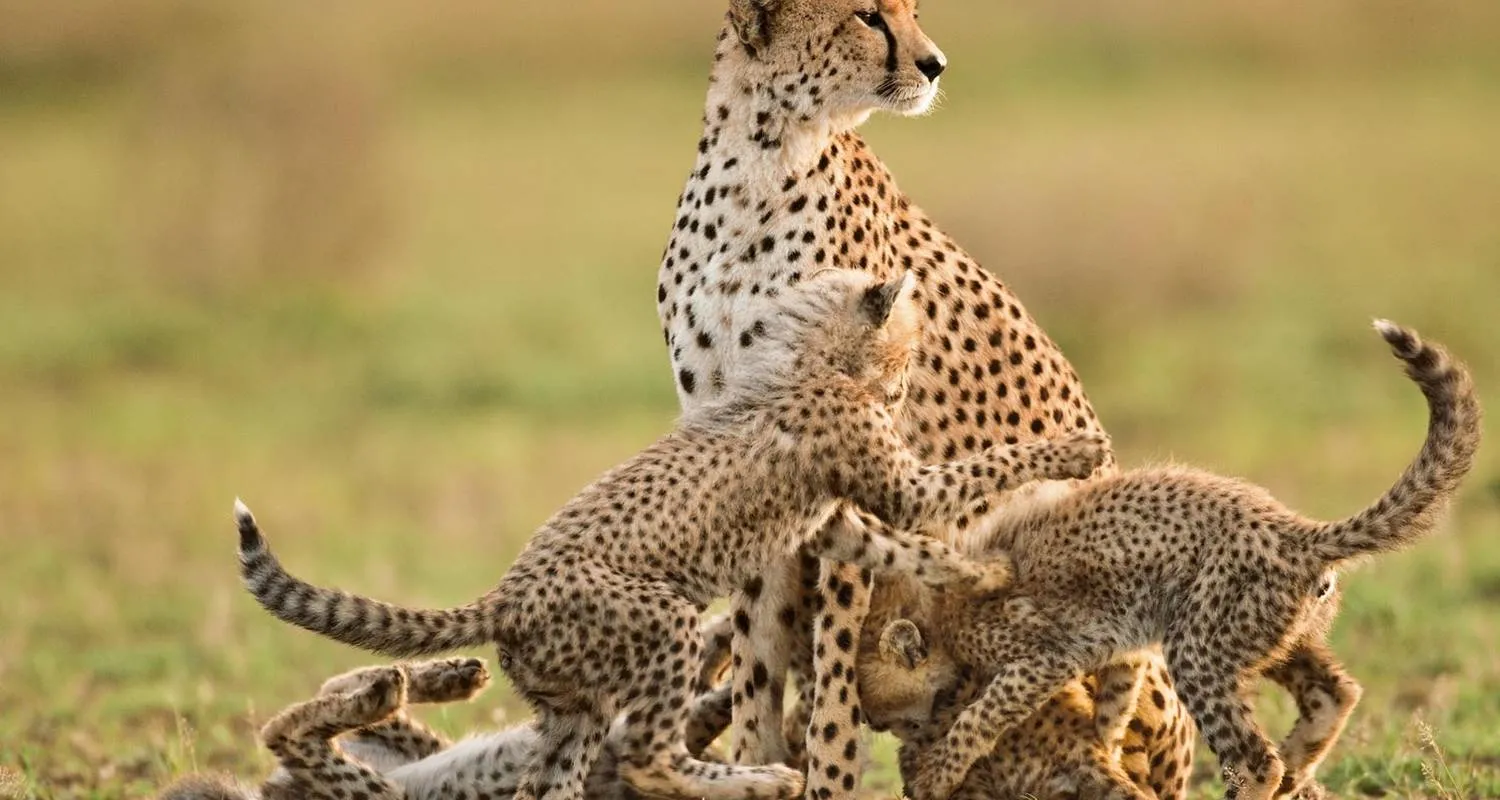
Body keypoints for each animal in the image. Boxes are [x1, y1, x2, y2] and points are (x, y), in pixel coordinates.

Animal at [232, 268, 1110, 800]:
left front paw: (981, 576)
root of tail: (504, 596)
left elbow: (906, 548)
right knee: (651, 759)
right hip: (661, 625)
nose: (902, 387)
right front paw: (1074, 450)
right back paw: (762, 780)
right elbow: (975, 473)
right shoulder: (894, 484)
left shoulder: (833, 521)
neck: (804, 359)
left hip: (572, 710)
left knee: (552, 785)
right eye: (905, 348)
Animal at [653, 0, 1193, 792]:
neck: (763, 157)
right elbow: (758, 657)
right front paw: (758, 763)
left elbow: (838, 670)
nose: (936, 64)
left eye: (913, 10)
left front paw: (830, 776)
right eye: (867, 15)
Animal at [900, 321, 1482, 800]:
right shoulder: (1117, 643)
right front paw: (1105, 749)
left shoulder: (1044, 653)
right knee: (1334, 693)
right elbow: (1113, 705)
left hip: (1198, 644)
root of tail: (1297, 531)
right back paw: (1297, 770)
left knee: (1254, 761)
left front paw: (937, 772)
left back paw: (1273, 775)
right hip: (1267, 634)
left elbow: (983, 713)